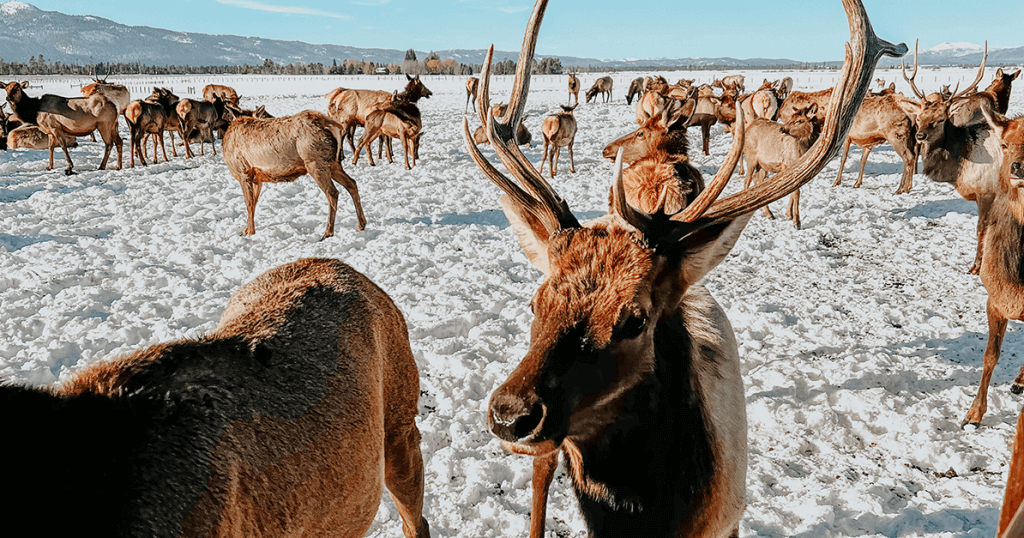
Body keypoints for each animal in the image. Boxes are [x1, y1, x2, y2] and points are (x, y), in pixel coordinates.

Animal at [224, 110, 368, 237]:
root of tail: (326, 122)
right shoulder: (257, 178)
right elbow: (254, 202)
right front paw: (247, 229)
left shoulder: (243, 172)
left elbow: (248, 203)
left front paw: (249, 231)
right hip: (333, 163)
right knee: (351, 183)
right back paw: (361, 224)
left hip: (315, 162)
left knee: (332, 193)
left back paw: (327, 232)